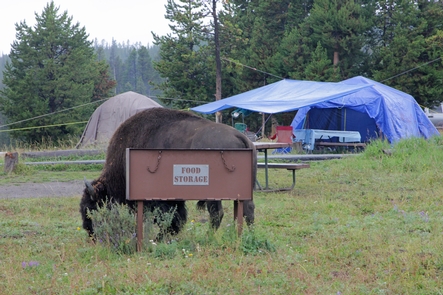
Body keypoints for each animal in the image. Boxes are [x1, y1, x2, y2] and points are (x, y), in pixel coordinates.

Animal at [80, 107, 256, 239]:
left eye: (91, 208)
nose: (89, 232)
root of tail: (240, 136)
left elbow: (169, 218)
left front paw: (161, 237)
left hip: (214, 193)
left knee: (217, 213)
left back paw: (209, 237)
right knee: (246, 209)